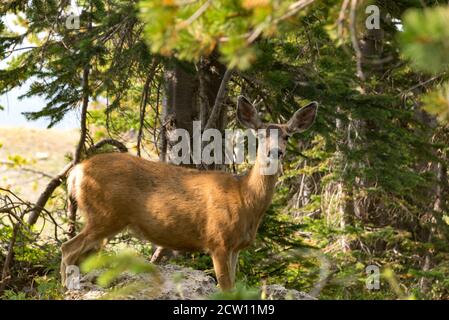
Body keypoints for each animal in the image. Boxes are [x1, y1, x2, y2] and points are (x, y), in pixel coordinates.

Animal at [61, 95, 316, 290]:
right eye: (261, 135)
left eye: (287, 136)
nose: (276, 152)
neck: (245, 198)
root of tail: (76, 172)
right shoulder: (217, 240)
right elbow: (226, 288)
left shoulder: (235, 247)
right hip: (104, 215)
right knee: (68, 248)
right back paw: (68, 288)